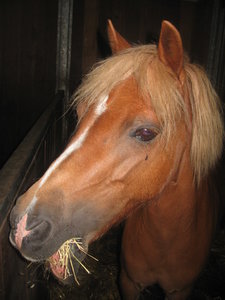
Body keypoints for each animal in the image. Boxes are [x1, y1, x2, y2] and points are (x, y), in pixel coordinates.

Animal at [9, 19, 223, 298]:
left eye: (146, 133)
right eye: (80, 112)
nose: (23, 224)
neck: (166, 240)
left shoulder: (180, 290)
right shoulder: (128, 281)